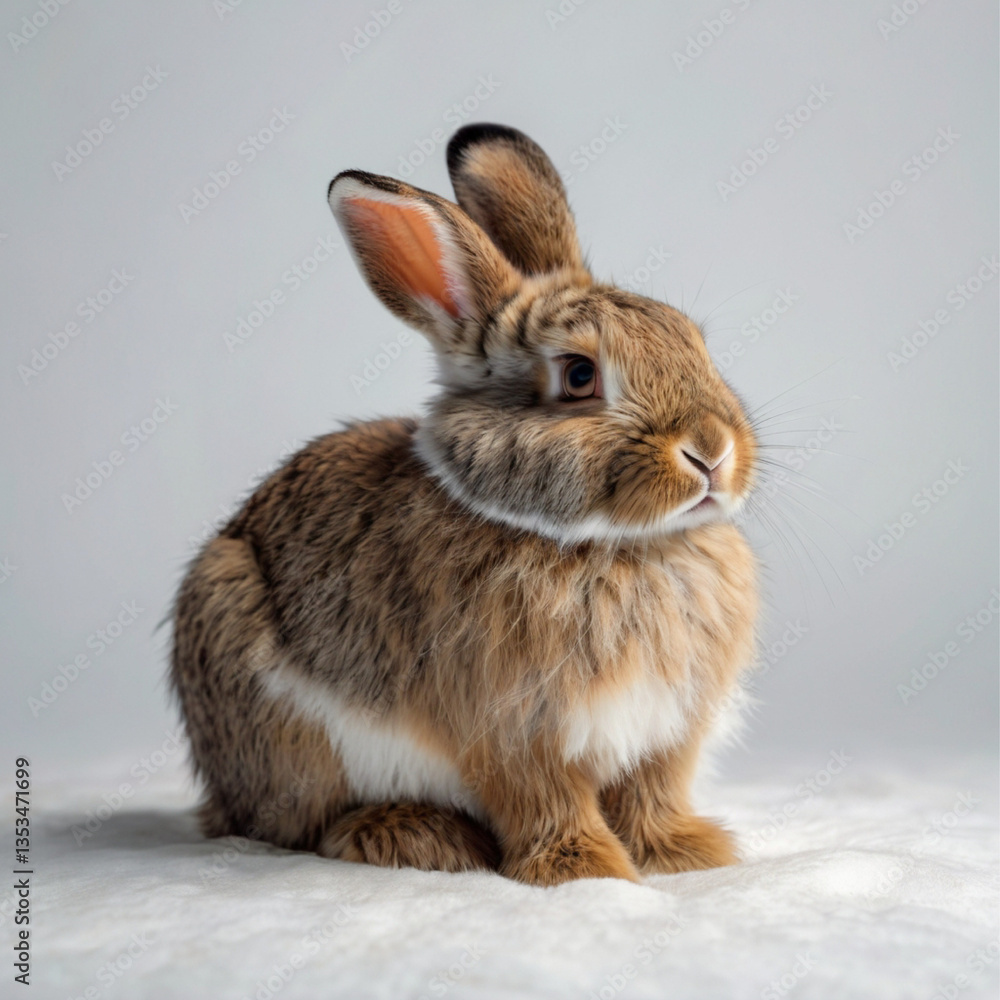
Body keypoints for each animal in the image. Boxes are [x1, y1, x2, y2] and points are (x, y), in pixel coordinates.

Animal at [170, 123, 758, 886]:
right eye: (578, 376)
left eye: (693, 340)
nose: (712, 451)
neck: (610, 544)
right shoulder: (512, 730)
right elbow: (543, 799)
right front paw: (586, 869)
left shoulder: (665, 733)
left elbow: (651, 793)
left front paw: (687, 854)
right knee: (304, 825)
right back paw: (415, 836)